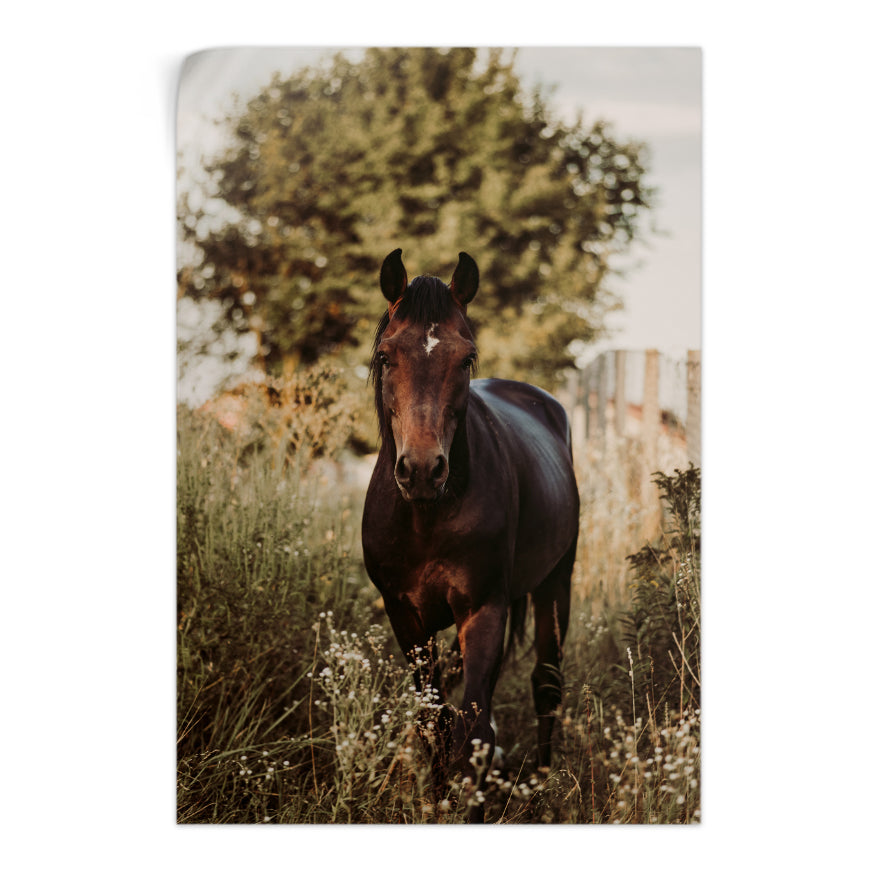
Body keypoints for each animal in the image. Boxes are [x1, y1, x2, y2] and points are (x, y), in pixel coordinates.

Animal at [361, 249, 579, 821]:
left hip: (556, 584)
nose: (421, 470)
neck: (427, 515)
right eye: (386, 357)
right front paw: (437, 802)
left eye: (466, 359)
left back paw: (542, 787)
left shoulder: (484, 609)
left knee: (546, 685)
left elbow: (475, 733)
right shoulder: (406, 616)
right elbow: (433, 723)